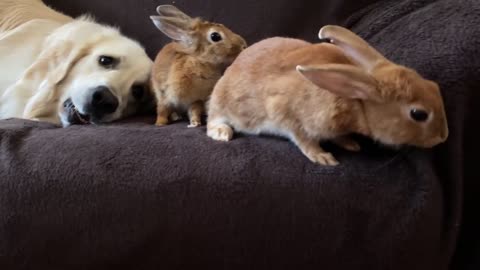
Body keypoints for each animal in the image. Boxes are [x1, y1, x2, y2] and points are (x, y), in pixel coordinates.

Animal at [207, 25, 450, 166]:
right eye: (418, 114)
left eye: (434, 86)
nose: (442, 137)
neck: (355, 102)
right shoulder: (284, 111)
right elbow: (302, 138)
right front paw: (322, 157)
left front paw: (350, 143)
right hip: (222, 103)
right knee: (214, 120)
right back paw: (222, 132)